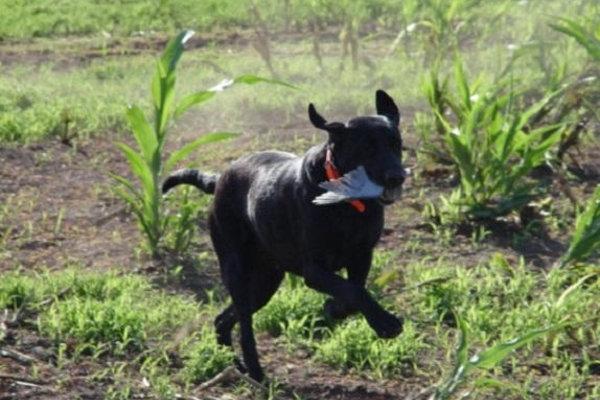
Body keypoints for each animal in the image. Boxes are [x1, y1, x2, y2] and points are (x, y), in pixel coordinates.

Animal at [164, 89, 406, 380]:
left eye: (397, 144)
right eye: (367, 148)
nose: (397, 176)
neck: (346, 204)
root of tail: (221, 177)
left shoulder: (361, 257)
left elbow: (353, 291)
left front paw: (334, 309)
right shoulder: (314, 270)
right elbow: (354, 291)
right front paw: (385, 323)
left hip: (266, 281)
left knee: (223, 319)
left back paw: (235, 365)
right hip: (236, 270)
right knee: (244, 326)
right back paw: (255, 371)